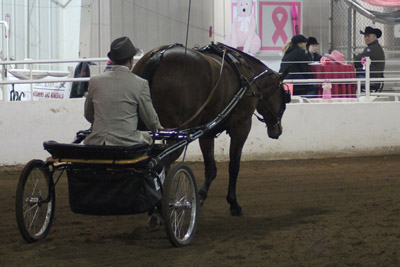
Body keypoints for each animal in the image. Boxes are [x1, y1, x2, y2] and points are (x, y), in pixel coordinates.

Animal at [133, 42, 290, 218]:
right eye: (284, 96)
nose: (278, 130)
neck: (248, 77)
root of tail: (159, 55)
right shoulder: (241, 126)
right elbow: (234, 165)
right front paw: (233, 203)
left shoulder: (207, 132)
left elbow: (211, 168)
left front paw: (200, 196)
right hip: (177, 133)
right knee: (163, 163)